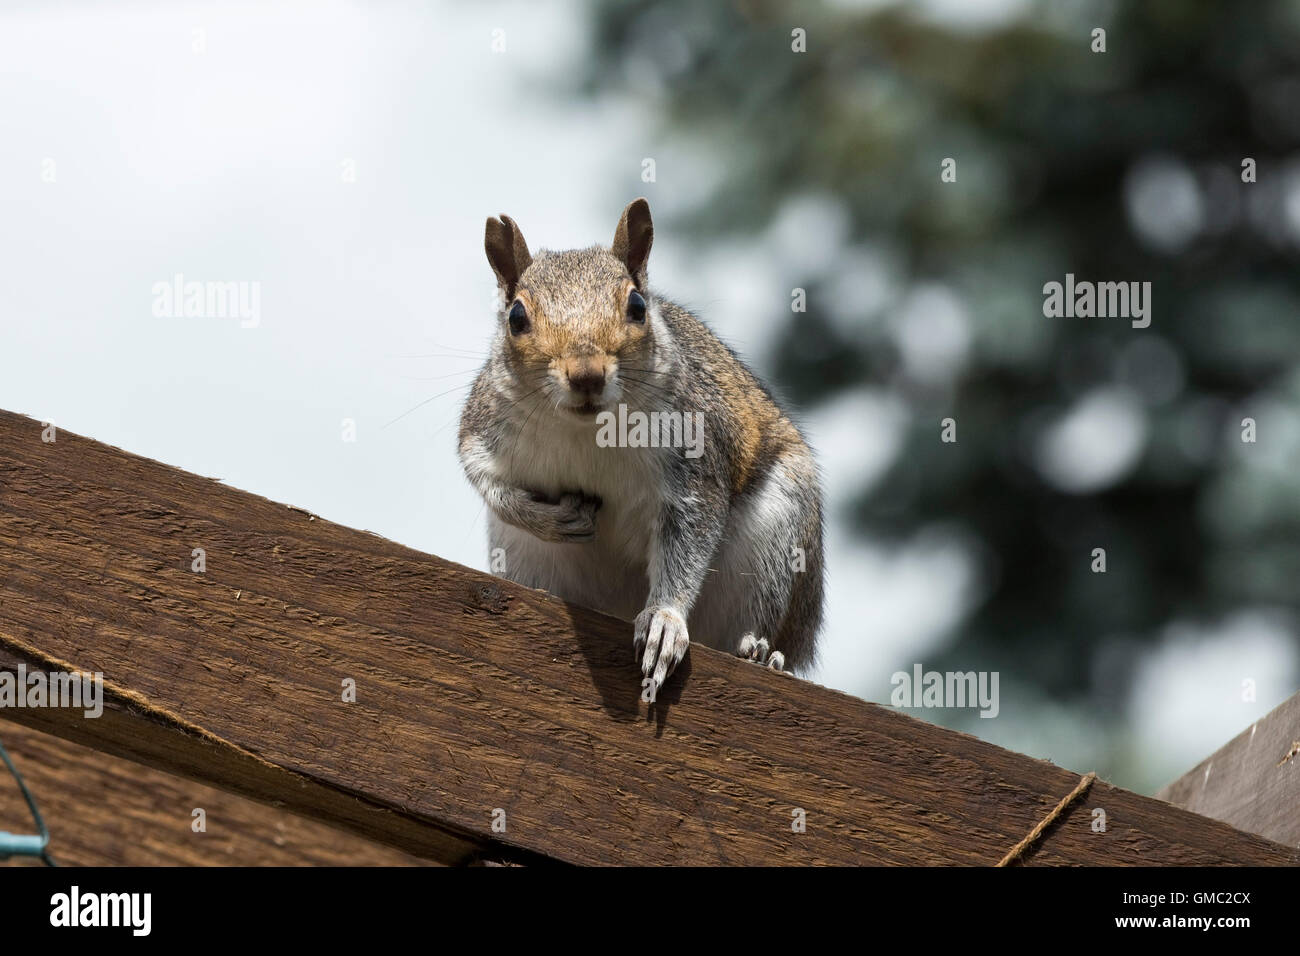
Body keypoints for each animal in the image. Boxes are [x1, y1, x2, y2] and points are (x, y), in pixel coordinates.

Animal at [457, 197, 821, 691]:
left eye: (636, 305)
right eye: (516, 317)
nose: (586, 374)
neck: (588, 429)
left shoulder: (694, 463)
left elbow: (688, 541)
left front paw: (664, 621)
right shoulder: (482, 427)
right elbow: (488, 483)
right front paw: (552, 518)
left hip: (777, 538)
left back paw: (760, 654)